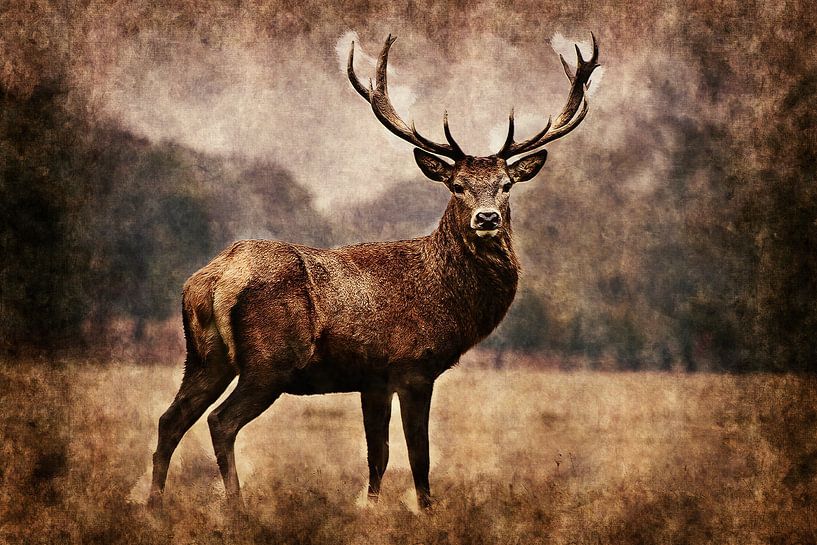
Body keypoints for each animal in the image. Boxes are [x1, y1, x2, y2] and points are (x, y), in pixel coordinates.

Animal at [148, 33, 599, 512]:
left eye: (506, 185)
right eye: (457, 186)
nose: (487, 218)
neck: (448, 298)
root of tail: (214, 279)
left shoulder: (373, 378)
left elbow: (377, 455)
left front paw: (371, 508)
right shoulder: (414, 366)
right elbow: (418, 455)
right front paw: (426, 510)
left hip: (204, 356)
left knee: (170, 419)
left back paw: (154, 504)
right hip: (270, 360)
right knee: (220, 421)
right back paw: (237, 505)